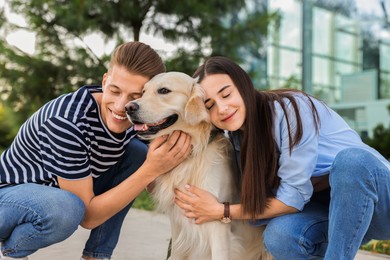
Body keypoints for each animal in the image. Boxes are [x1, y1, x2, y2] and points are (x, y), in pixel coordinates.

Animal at [125, 71, 272, 260]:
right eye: (143, 92)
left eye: (164, 90)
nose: (128, 107)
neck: (194, 153)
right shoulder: (178, 227)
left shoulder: (217, 225)